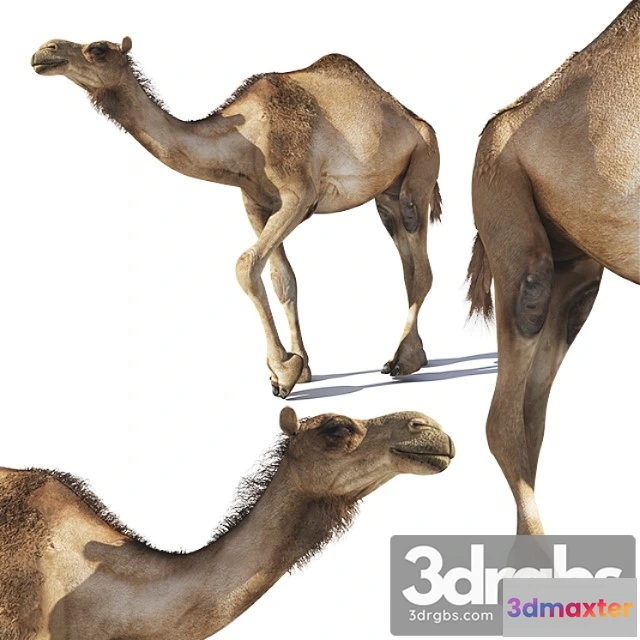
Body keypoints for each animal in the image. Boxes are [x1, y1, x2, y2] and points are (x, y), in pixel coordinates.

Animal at [31, 39, 442, 399]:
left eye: (98, 49)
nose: (43, 51)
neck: (246, 138)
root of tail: (415, 118)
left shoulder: (299, 194)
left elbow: (245, 265)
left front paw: (282, 372)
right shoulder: (256, 203)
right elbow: (283, 281)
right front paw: (302, 366)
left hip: (422, 167)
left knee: (421, 267)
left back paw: (403, 361)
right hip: (386, 196)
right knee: (408, 266)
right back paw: (418, 356)